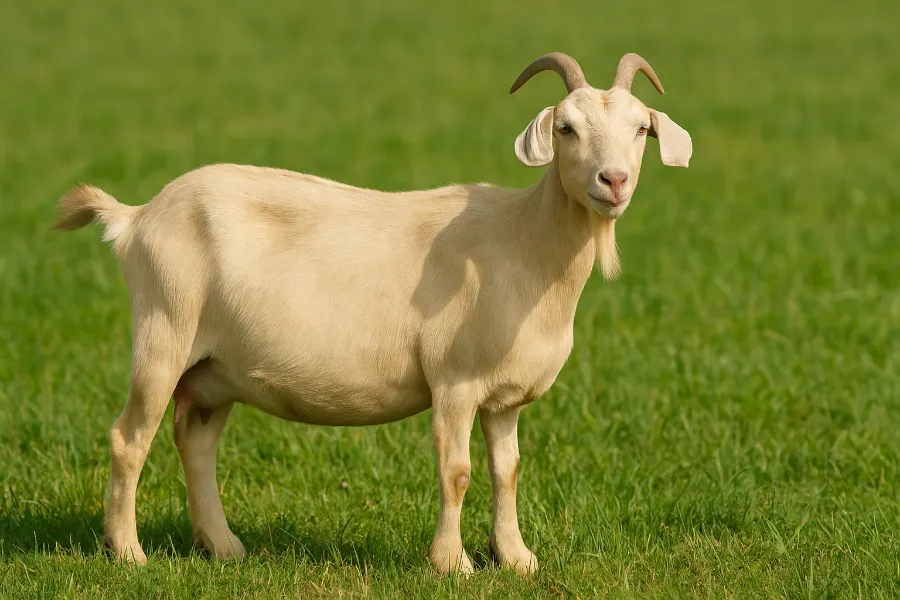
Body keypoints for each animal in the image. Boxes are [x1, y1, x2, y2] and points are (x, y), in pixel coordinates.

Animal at [53, 52, 691, 575]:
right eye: (565, 128)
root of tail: (136, 217)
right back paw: (128, 552)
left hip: (213, 368)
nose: (614, 180)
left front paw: (516, 559)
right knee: (129, 438)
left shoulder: (505, 397)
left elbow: (505, 471)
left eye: (641, 127)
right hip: (165, 328)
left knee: (196, 439)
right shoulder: (455, 380)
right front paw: (452, 564)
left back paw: (224, 546)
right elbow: (456, 470)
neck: (525, 243)